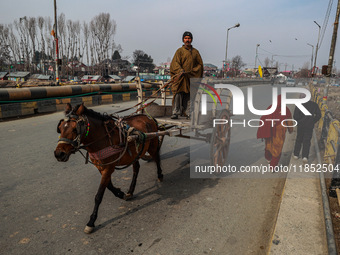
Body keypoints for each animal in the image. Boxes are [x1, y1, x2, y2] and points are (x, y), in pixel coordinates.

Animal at [54, 103, 163, 233]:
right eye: (60, 128)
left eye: (75, 129)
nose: (59, 154)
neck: (102, 138)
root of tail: (148, 117)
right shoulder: (101, 167)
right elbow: (109, 186)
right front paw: (120, 193)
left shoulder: (108, 168)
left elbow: (98, 195)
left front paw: (91, 221)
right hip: (135, 153)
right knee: (136, 168)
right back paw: (130, 191)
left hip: (152, 144)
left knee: (156, 157)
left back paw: (160, 175)